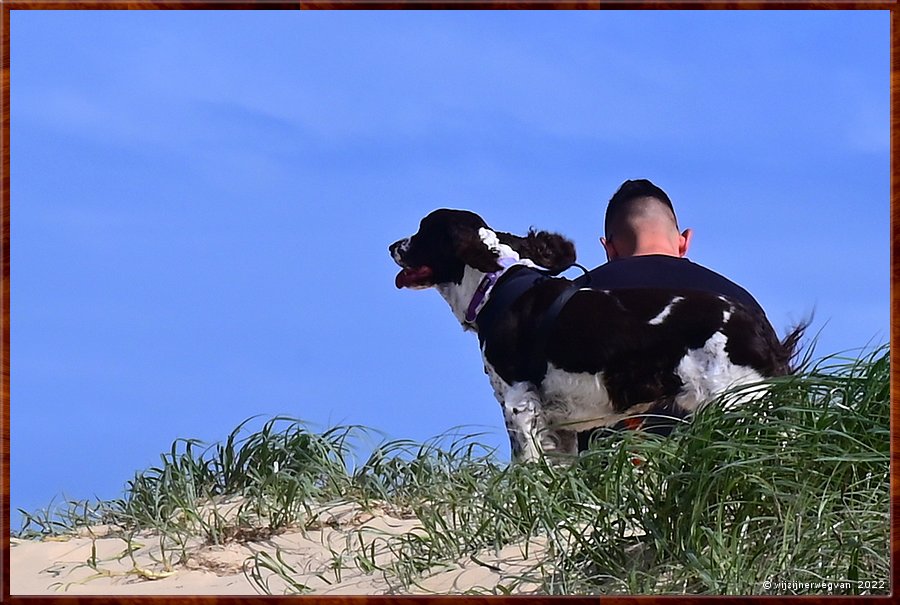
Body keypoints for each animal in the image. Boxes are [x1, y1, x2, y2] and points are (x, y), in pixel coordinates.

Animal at [390, 209, 804, 462]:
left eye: (422, 231)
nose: (392, 245)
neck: (494, 281)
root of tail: (755, 324)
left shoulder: (518, 401)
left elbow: (526, 463)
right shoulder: (559, 422)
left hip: (732, 401)